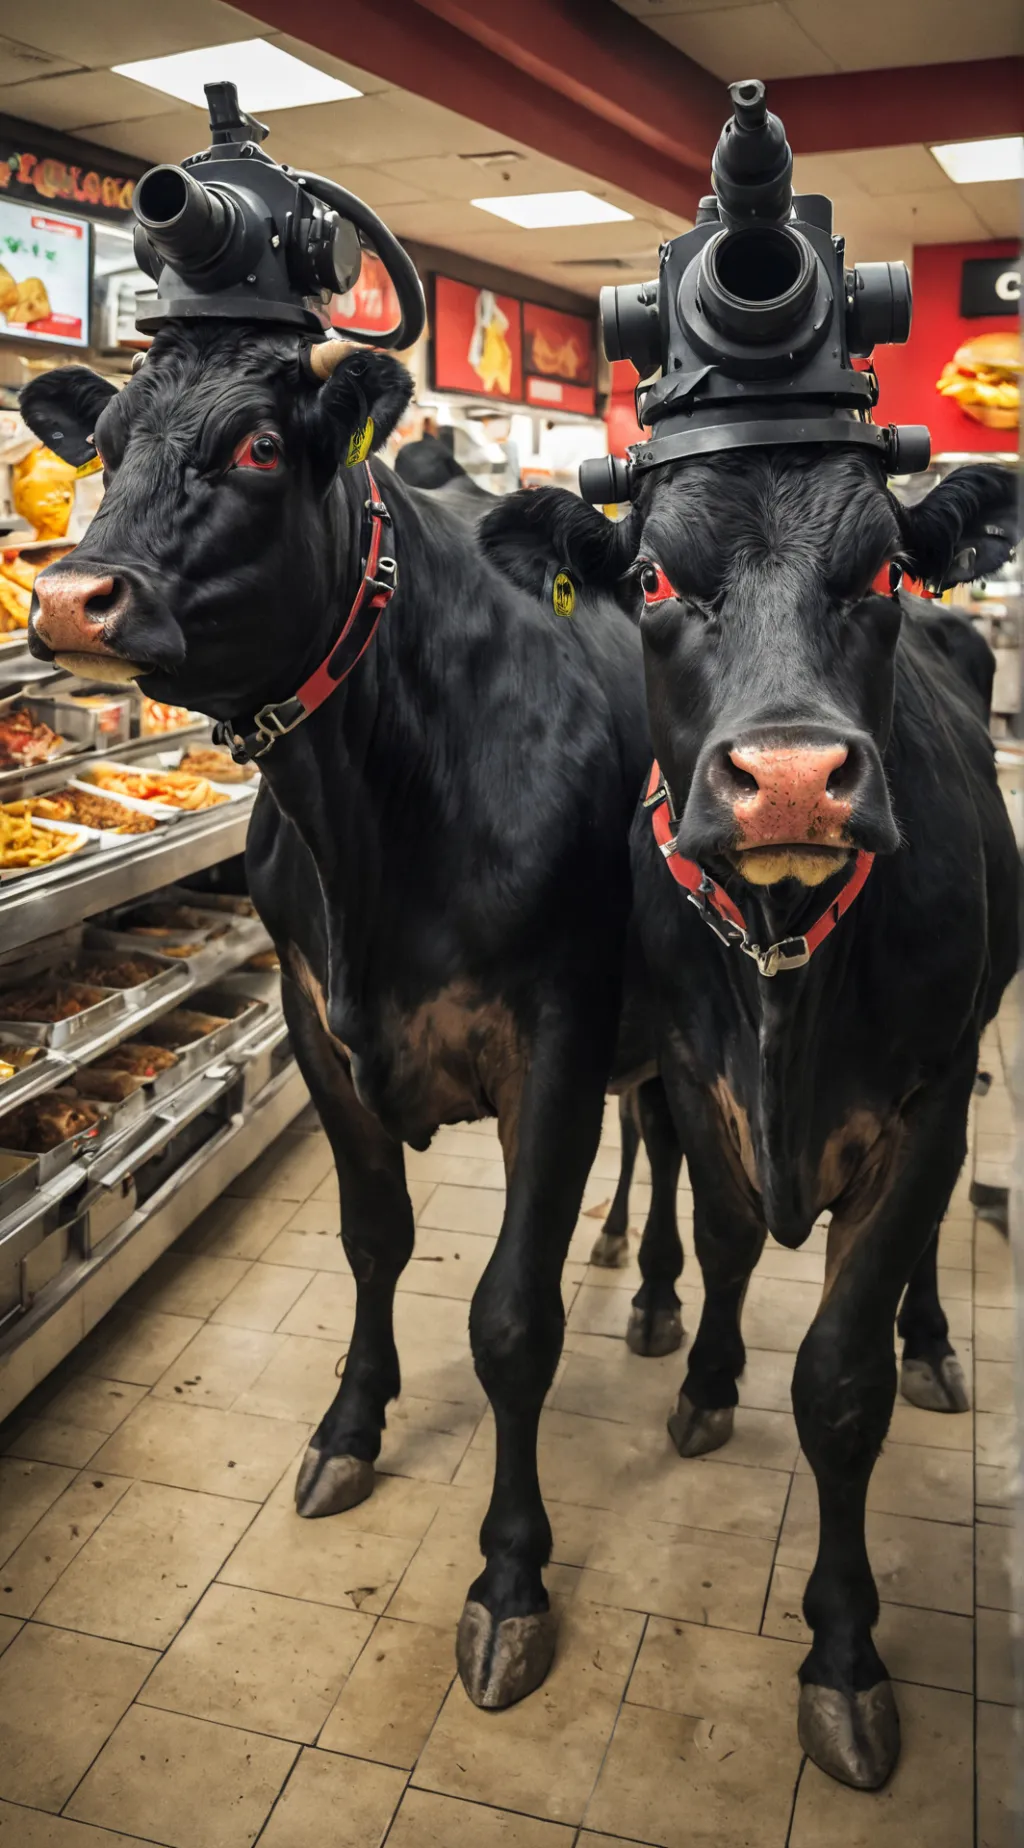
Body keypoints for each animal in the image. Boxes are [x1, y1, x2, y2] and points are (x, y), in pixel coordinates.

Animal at [19, 331, 685, 1711]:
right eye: (101, 444)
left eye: (263, 447)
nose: (64, 600)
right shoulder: (314, 1017)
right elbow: (374, 1242)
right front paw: (348, 1429)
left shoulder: (557, 1033)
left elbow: (510, 1320)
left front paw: (510, 1579)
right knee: (650, 1132)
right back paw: (622, 1256)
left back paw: (661, 1296)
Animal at [482, 447, 1019, 1788]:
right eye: (654, 577)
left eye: (882, 570)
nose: (785, 782)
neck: (781, 964)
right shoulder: (690, 1069)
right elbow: (722, 1242)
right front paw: (707, 1379)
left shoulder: (926, 1101)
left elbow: (840, 1379)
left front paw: (844, 1656)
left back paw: (931, 1340)